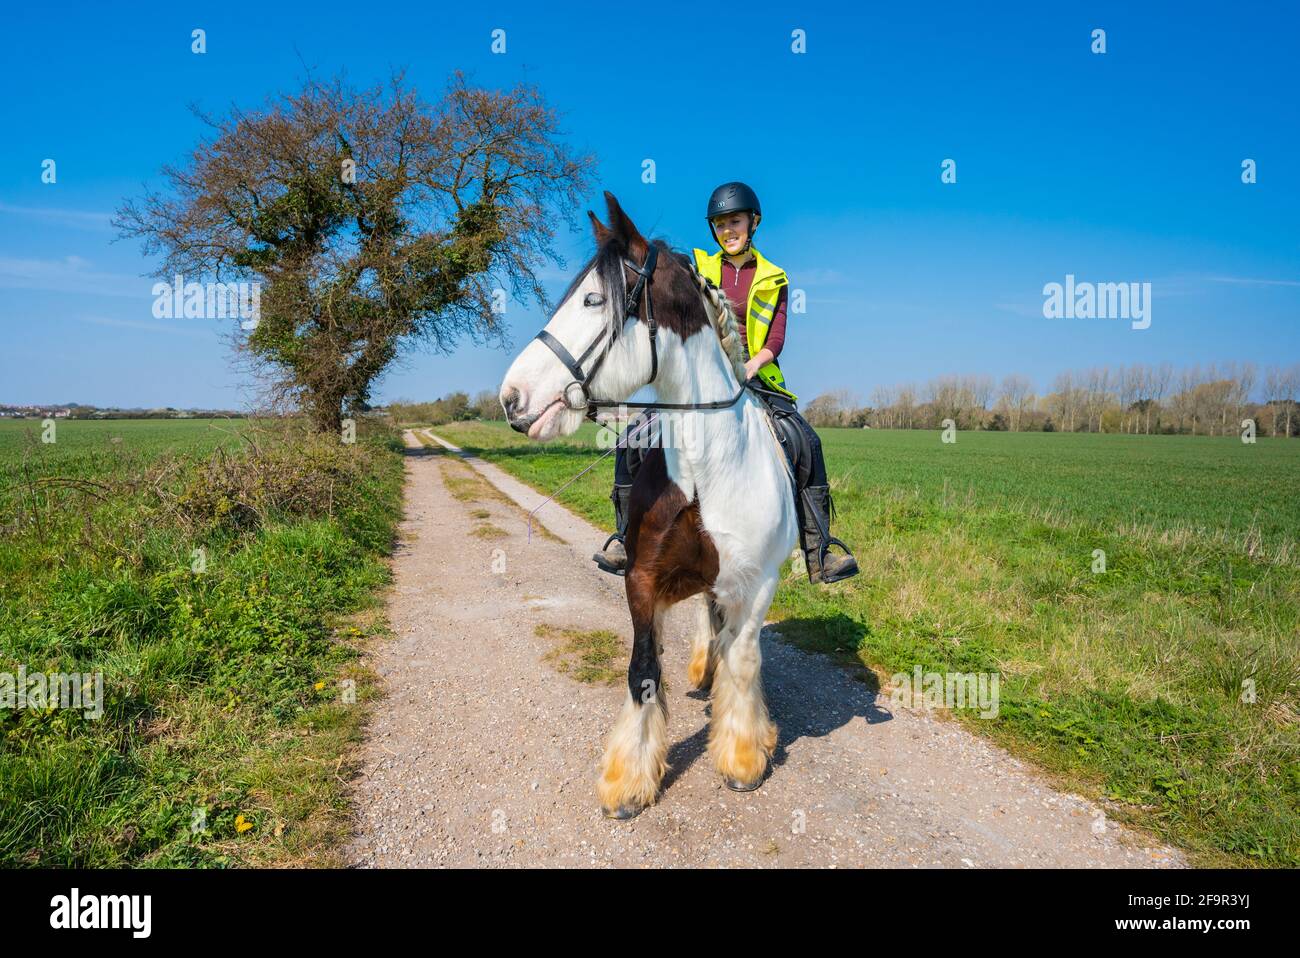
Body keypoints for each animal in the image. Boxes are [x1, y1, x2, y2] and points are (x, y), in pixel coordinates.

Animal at [499, 192, 795, 816]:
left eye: (593, 300)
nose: (512, 398)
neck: (708, 468)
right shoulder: (641, 578)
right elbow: (642, 671)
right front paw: (628, 780)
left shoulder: (759, 583)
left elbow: (745, 662)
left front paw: (743, 756)